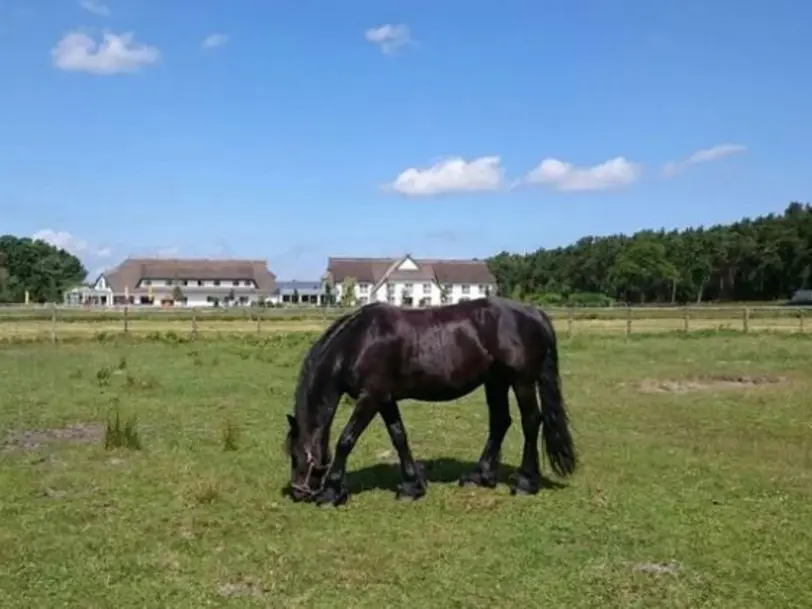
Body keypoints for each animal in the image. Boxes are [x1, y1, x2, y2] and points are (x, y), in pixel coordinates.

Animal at [282, 296, 576, 506]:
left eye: (296, 456)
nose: (299, 493)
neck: (359, 342)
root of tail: (534, 313)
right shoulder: (385, 399)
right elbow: (399, 437)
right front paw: (411, 487)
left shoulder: (371, 398)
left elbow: (346, 440)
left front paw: (331, 493)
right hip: (495, 382)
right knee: (500, 422)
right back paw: (479, 477)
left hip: (521, 381)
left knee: (531, 422)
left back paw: (525, 483)